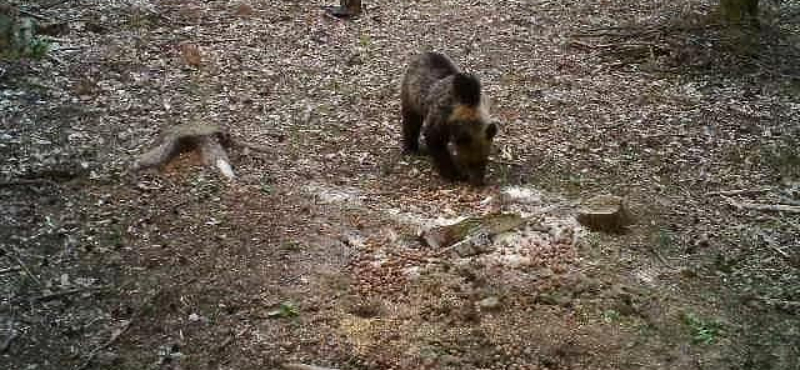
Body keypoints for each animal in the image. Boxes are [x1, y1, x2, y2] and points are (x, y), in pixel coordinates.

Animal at [404, 50, 496, 186]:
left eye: (484, 160)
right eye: (470, 163)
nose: (478, 182)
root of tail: (424, 53)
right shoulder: (440, 118)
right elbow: (435, 141)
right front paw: (454, 174)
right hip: (411, 97)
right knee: (411, 122)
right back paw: (412, 147)